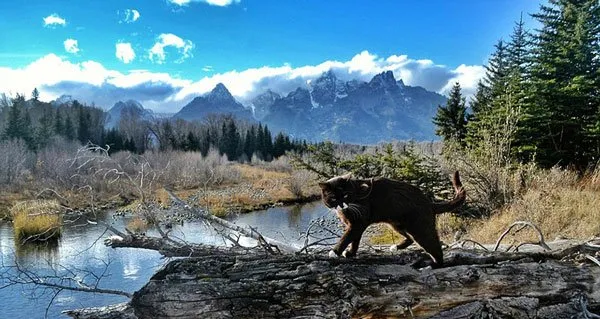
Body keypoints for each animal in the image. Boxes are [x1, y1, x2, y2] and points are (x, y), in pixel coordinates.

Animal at [318, 171, 464, 266]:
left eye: (346, 195)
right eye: (333, 198)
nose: (342, 204)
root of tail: (429, 202)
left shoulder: (358, 222)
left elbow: (347, 237)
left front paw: (334, 252)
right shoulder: (355, 224)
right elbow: (355, 240)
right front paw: (350, 253)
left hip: (420, 228)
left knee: (435, 248)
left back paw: (433, 265)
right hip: (396, 224)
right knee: (410, 238)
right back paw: (396, 247)